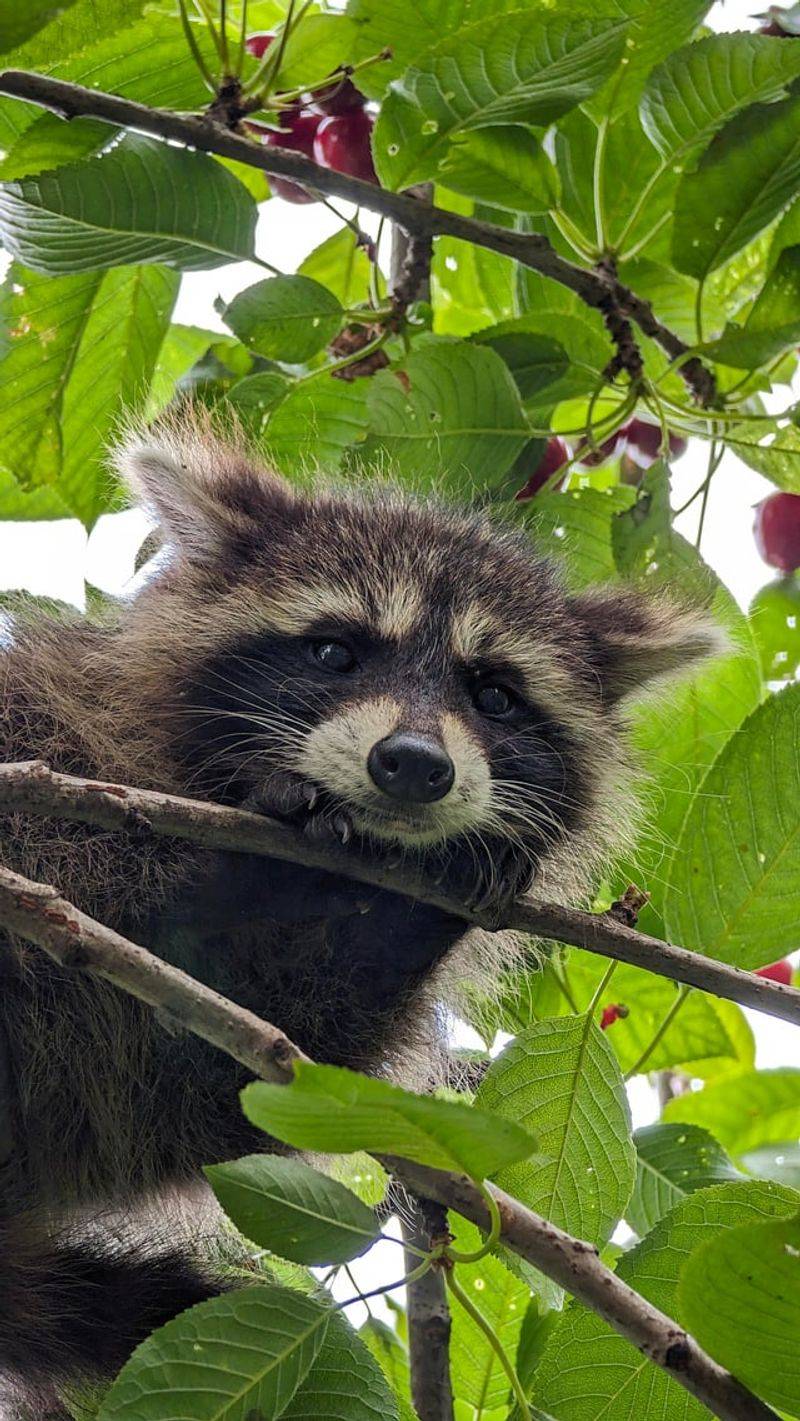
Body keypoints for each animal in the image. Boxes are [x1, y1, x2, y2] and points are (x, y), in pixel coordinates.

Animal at [0, 418, 720, 1415]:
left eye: (495, 693)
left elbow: (217, 1064)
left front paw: (390, 899)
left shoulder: (126, 1058)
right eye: (335, 651)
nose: (414, 763)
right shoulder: (49, 736)